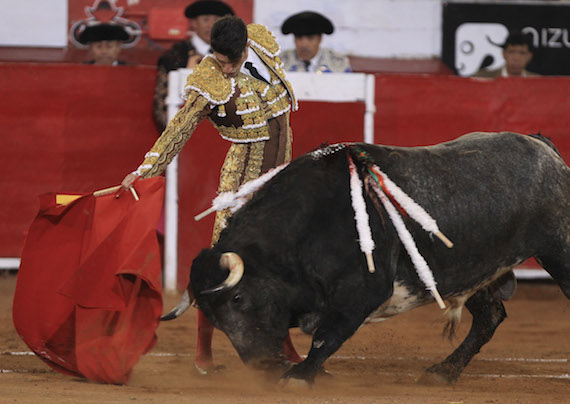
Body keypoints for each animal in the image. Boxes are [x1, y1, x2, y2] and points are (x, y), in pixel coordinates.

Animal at [184, 133, 564, 386]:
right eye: (210, 315)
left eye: (237, 298)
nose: (261, 364)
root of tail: (545, 147)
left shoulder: (364, 290)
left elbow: (327, 335)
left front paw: (300, 375)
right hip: (474, 271)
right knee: (489, 318)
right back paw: (443, 372)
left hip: (559, 248)